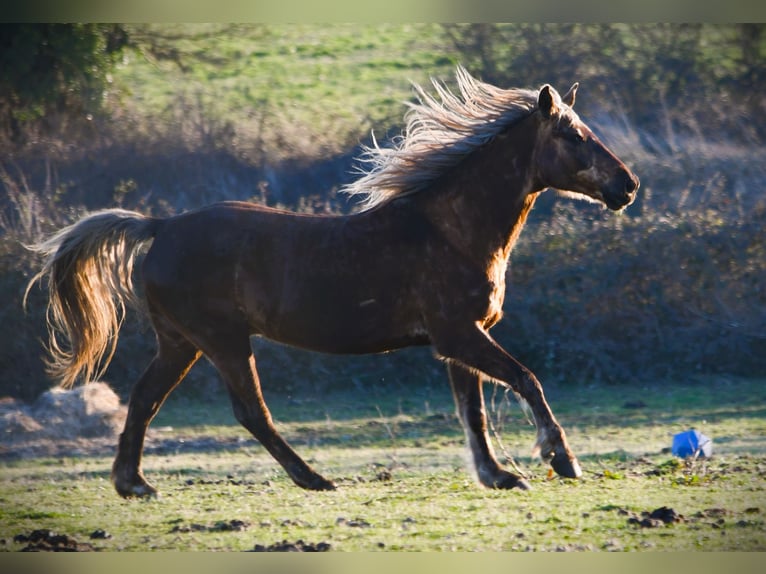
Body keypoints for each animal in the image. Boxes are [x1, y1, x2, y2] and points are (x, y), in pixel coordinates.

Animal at [26, 66, 639, 498]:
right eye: (573, 135)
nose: (628, 186)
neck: (449, 230)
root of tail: (161, 226)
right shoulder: (459, 334)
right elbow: (526, 380)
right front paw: (560, 459)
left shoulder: (458, 342)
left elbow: (475, 411)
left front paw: (500, 476)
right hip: (222, 341)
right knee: (251, 413)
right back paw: (315, 479)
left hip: (181, 342)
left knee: (145, 399)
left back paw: (134, 484)